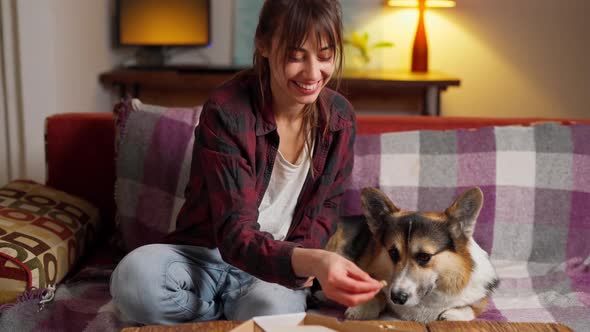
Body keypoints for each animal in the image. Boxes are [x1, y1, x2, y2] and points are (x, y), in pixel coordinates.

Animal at [326, 187, 502, 322]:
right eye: (393, 253)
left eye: (424, 256)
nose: (397, 298)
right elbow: (376, 291)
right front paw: (362, 307)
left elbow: (474, 306)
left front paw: (454, 314)